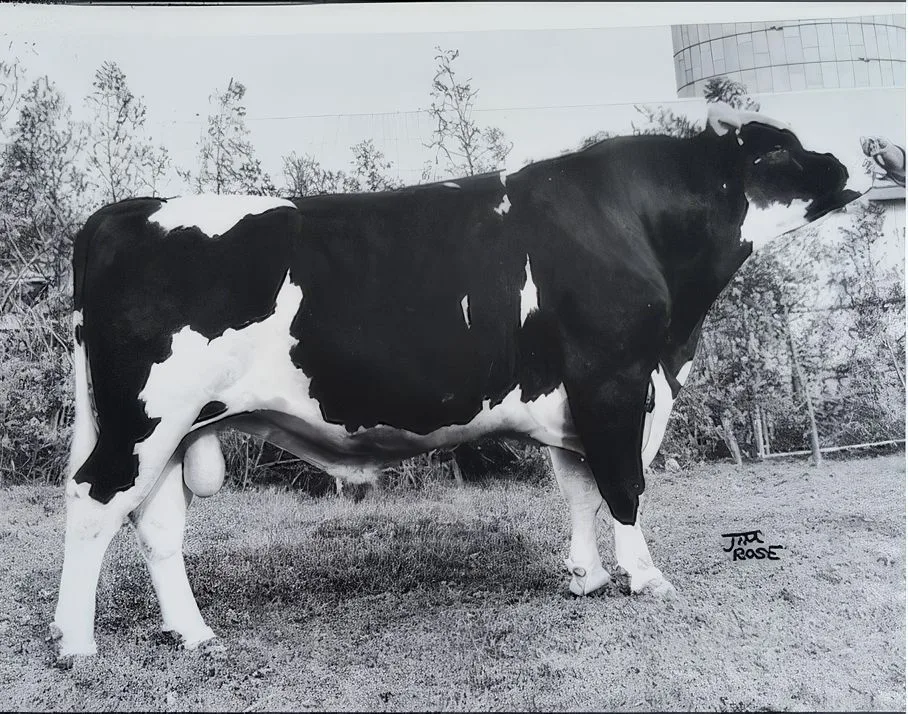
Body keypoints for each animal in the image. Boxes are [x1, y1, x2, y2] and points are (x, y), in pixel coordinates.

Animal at [50, 101, 862, 661]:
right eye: (781, 148)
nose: (848, 162)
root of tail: (125, 210)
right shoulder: (616, 378)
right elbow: (624, 484)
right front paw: (645, 578)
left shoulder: (573, 397)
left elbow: (578, 486)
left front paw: (586, 577)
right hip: (145, 415)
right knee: (94, 501)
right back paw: (75, 644)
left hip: (176, 425)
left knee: (154, 522)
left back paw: (193, 633)